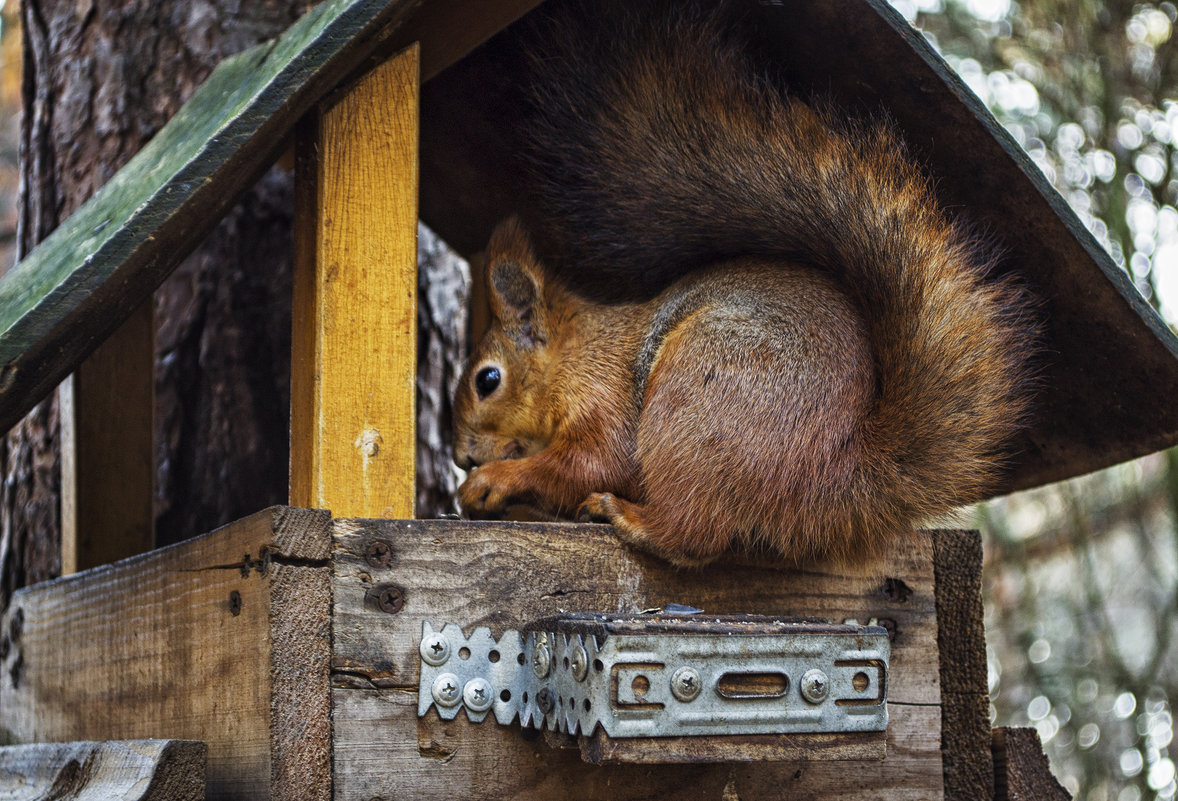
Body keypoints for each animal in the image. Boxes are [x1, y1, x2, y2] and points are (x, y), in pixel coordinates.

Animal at [447, 0, 1031, 565]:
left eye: (487, 380)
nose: (461, 457)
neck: (573, 356)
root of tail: (838, 481)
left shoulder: (604, 397)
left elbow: (591, 463)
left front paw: (492, 482)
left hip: (701, 391)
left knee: (697, 532)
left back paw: (632, 520)